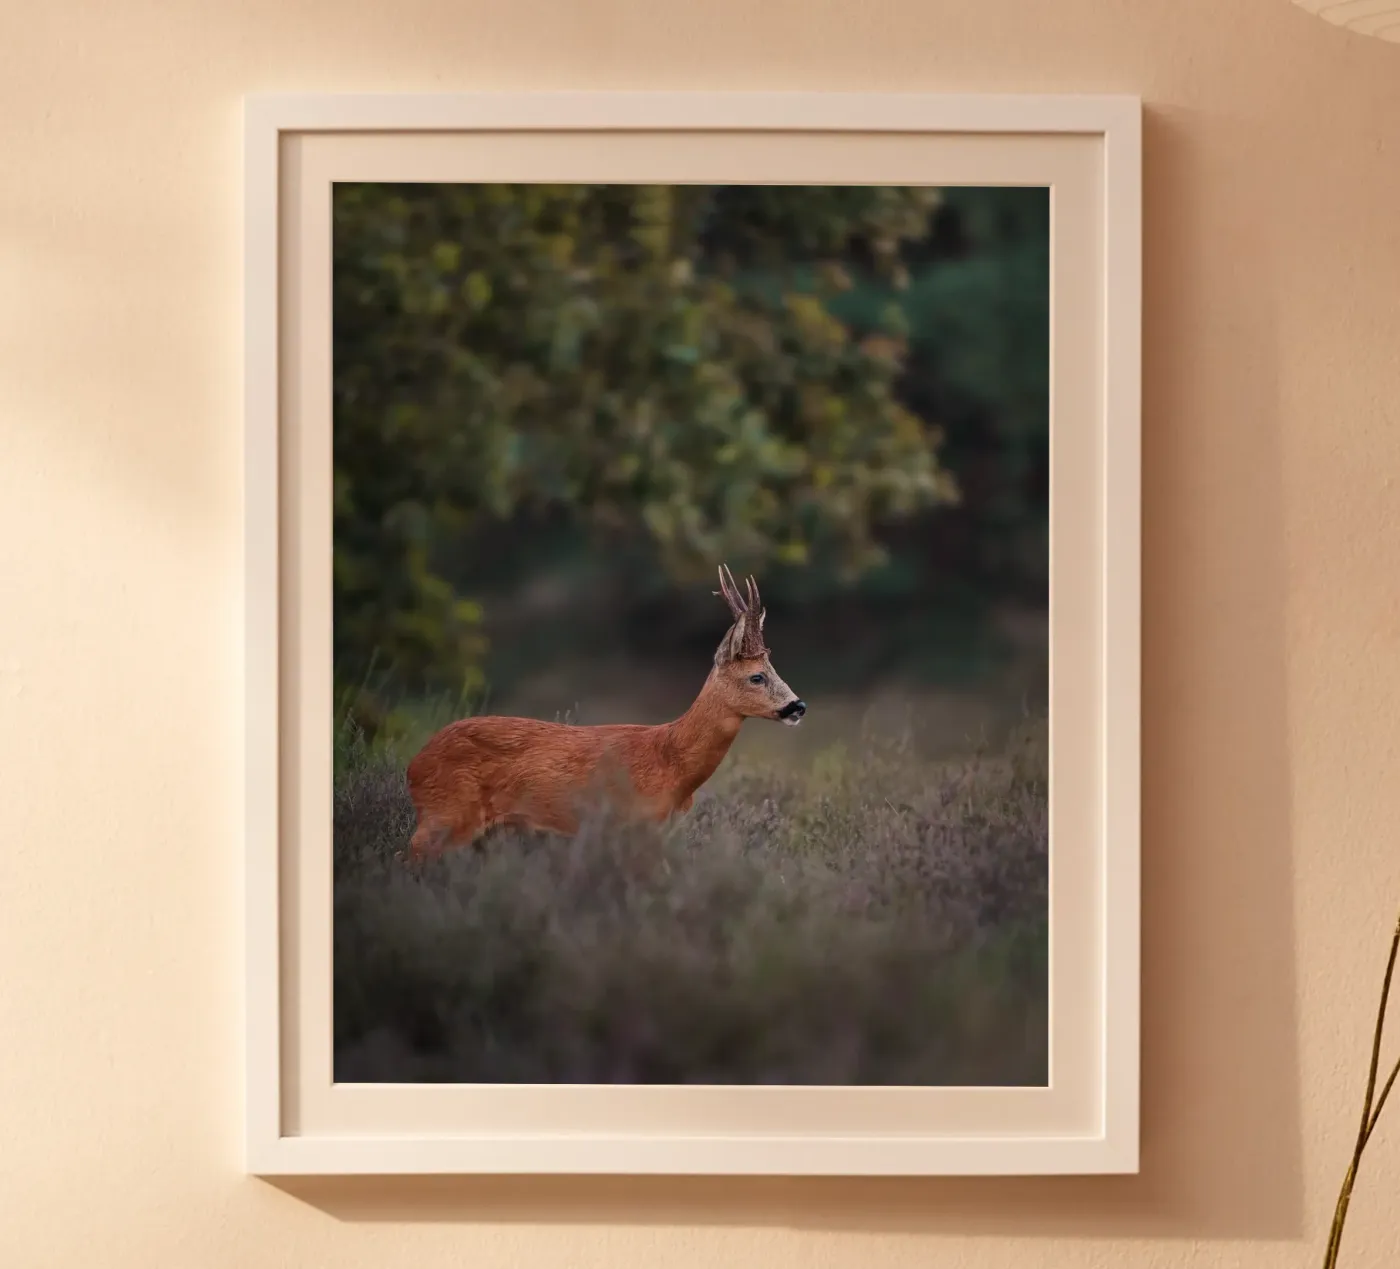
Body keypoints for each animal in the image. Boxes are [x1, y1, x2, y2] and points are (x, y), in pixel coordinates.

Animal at [402, 564, 806, 862]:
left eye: (773, 669)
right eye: (756, 676)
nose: (797, 706)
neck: (671, 763)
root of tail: (414, 765)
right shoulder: (630, 825)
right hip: (446, 814)